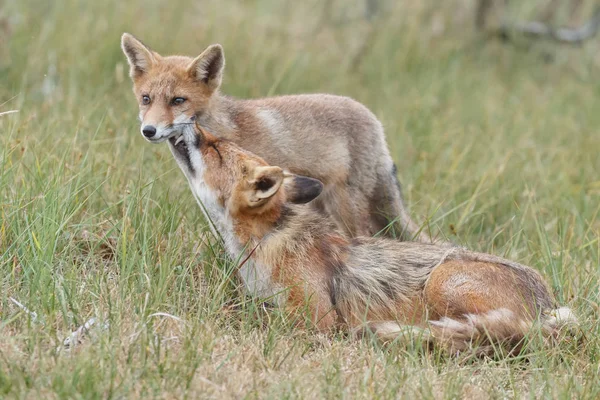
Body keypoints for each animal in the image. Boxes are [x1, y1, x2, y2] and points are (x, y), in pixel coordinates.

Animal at [120, 32, 440, 242]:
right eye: (146, 99)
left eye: (178, 101)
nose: (149, 131)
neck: (227, 130)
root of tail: (374, 119)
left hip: (345, 206)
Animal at [158, 122, 576, 354]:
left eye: (214, 147)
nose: (186, 122)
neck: (271, 241)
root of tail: (551, 307)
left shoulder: (318, 318)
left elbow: (261, 322)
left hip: (442, 282)